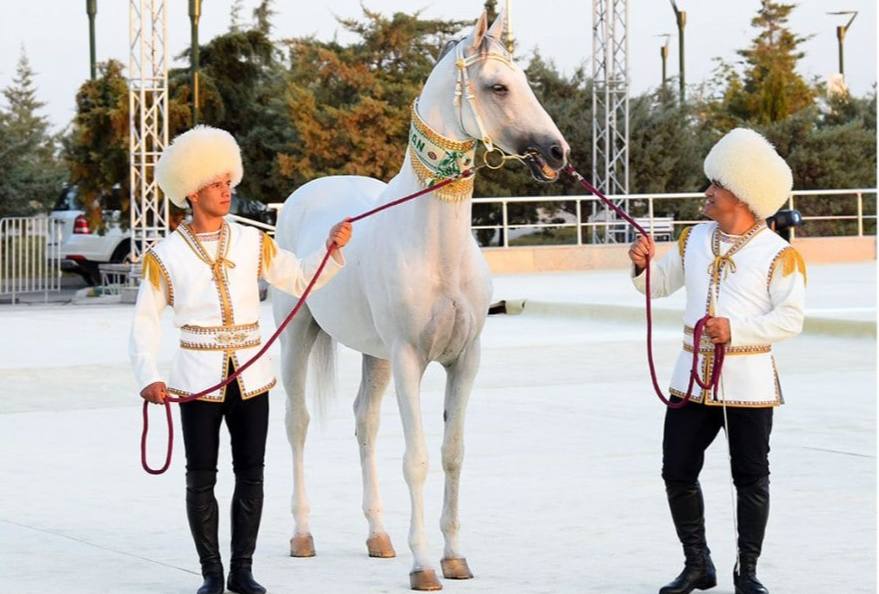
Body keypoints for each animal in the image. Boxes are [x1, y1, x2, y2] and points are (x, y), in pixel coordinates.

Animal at [272, 8, 568, 588]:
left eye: (524, 82)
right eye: (498, 86)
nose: (556, 153)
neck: (436, 246)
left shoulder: (464, 359)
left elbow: (452, 453)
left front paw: (454, 557)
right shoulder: (410, 358)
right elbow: (418, 459)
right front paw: (424, 565)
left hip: (376, 356)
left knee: (364, 423)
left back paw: (378, 537)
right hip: (299, 335)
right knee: (298, 422)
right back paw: (301, 535)